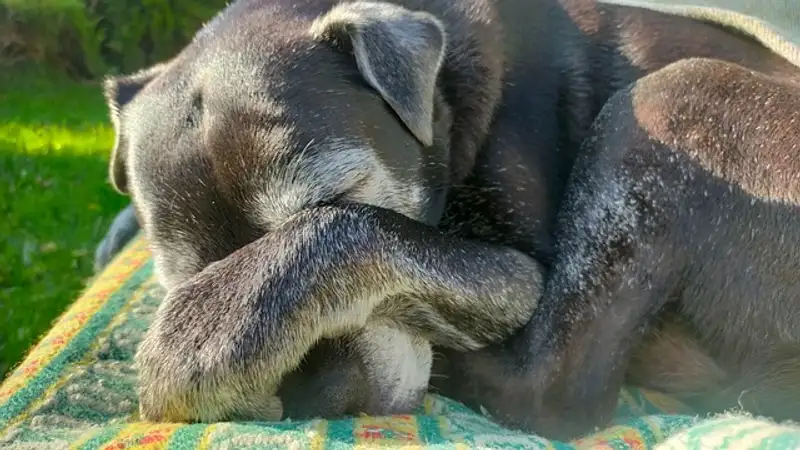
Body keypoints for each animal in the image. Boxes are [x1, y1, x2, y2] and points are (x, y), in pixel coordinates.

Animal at [97, 0, 800, 440]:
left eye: (343, 191)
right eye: (179, 273)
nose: (317, 398)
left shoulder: (521, 268)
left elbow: (355, 230)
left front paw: (201, 335)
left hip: (670, 97)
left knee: (549, 391)